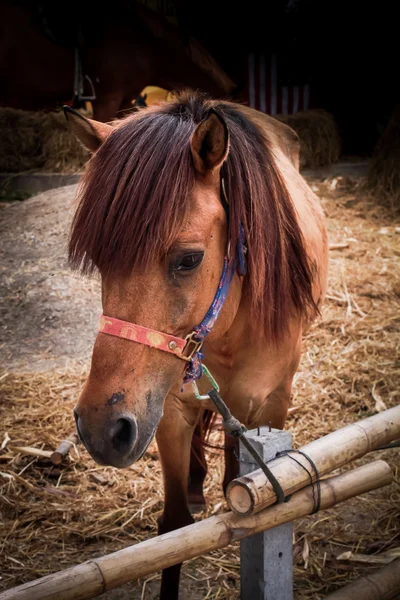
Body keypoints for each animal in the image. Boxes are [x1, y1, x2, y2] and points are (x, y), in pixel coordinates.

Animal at [65, 90, 328, 600]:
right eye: (101, 260)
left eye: (188, 259)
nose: (101, 430)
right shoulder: (166, 409)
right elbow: (174, 527)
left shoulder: (274, 405)